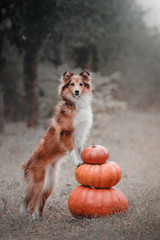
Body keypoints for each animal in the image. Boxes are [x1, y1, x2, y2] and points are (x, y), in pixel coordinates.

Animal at [19, 70, 93, 218]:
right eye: (71, 84)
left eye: (81, 84)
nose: (77, 91)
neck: (76, 104)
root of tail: (27, 164)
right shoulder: (66, 134)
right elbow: (72, 150)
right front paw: (77, 162)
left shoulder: (81, 135)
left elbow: (80, 150)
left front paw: (84, 160)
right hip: (39, 182)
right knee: (32, 203)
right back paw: (32, 218)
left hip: (50, 184)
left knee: (40, 202)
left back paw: (41, 218)